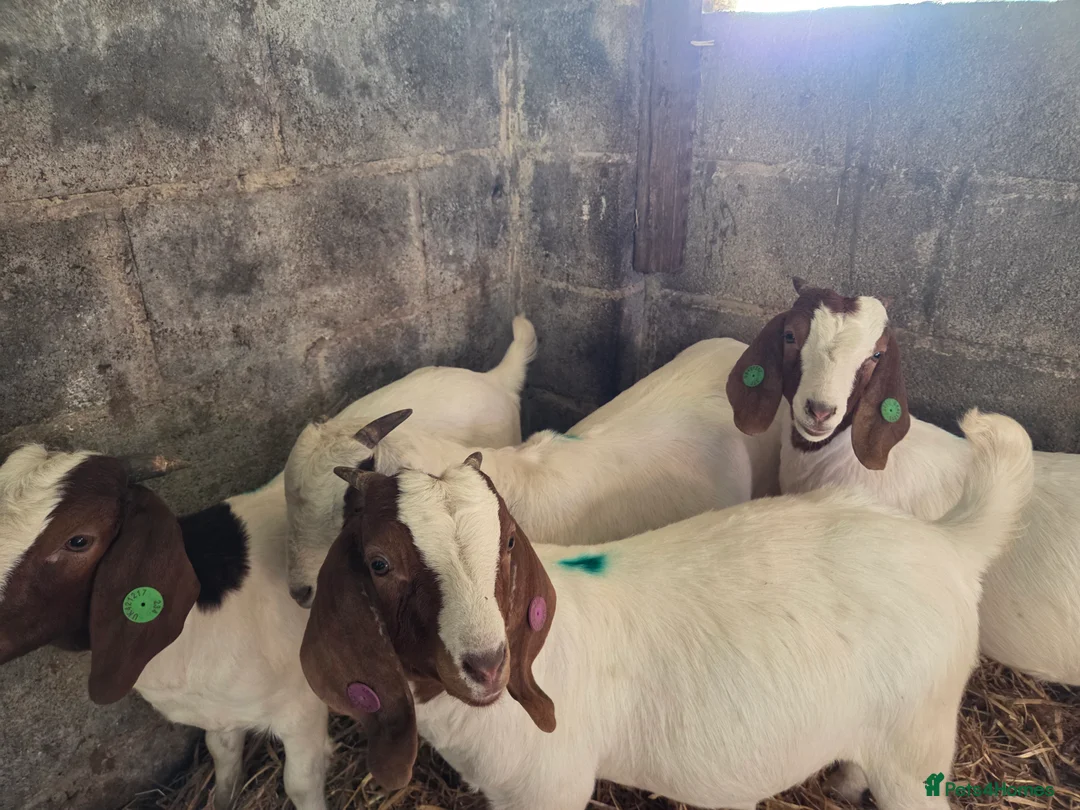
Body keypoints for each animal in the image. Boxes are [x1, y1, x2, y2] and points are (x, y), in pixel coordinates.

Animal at [0, 319, 536, 810]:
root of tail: (494, 376)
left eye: (78, 539)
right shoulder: (219, 716)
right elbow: (222, 758)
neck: (203, 614)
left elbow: (298, 785)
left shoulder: (299, 710)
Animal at [298, 409, 1033, 810]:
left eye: (507, 542)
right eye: (379, 563)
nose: (485, 664)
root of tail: (947, 540)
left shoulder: (549, 789)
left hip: (919, 744)